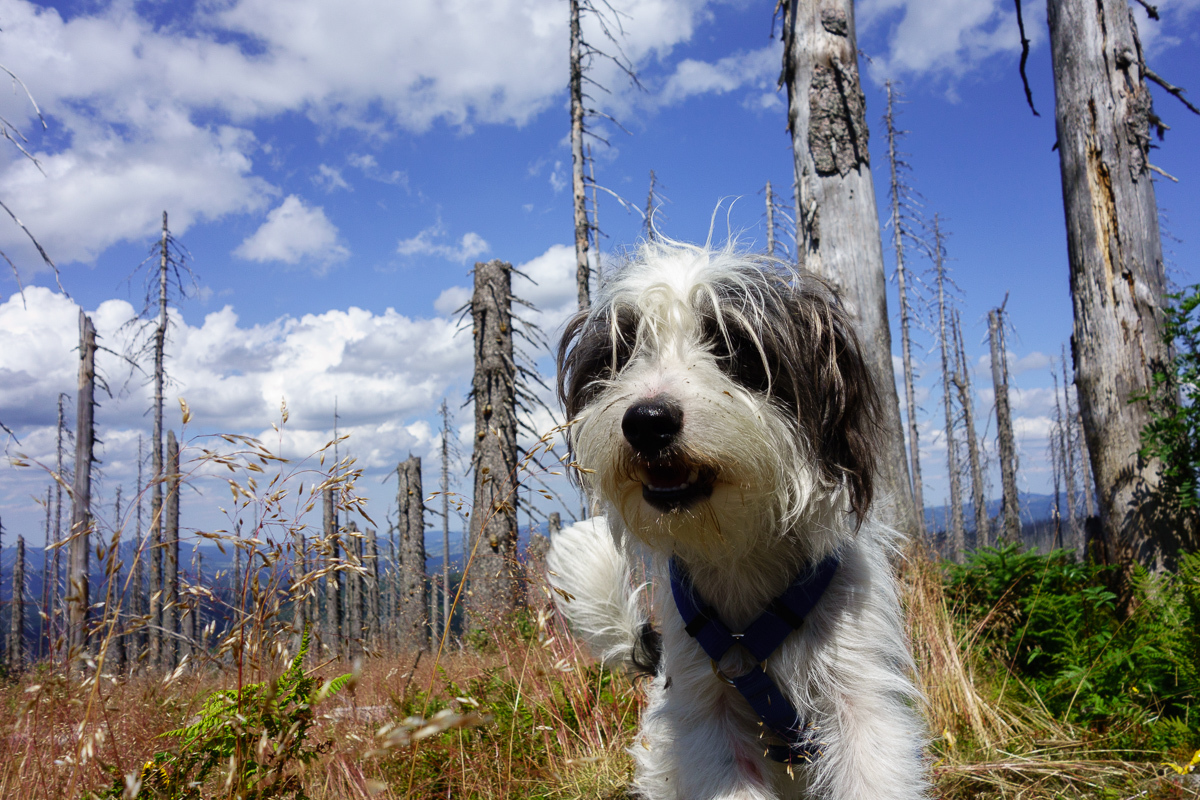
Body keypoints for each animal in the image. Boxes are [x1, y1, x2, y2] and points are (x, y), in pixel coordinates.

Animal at [546, 239, 928, 800]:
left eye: (734, 346)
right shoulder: (710, 713)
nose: (647, 422)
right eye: (622, 350)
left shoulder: (861, 700)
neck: (741, 556)